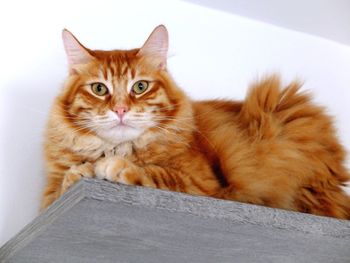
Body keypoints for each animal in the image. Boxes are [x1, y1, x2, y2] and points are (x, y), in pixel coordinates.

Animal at [43, 24, 350, 220]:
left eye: (140, 87)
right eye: (99, 89)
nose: (120, 109)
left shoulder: (204, 185)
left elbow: (157, 173)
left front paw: (112, 165)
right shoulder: (46, 201)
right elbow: (62, 185)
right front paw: (81, 171)